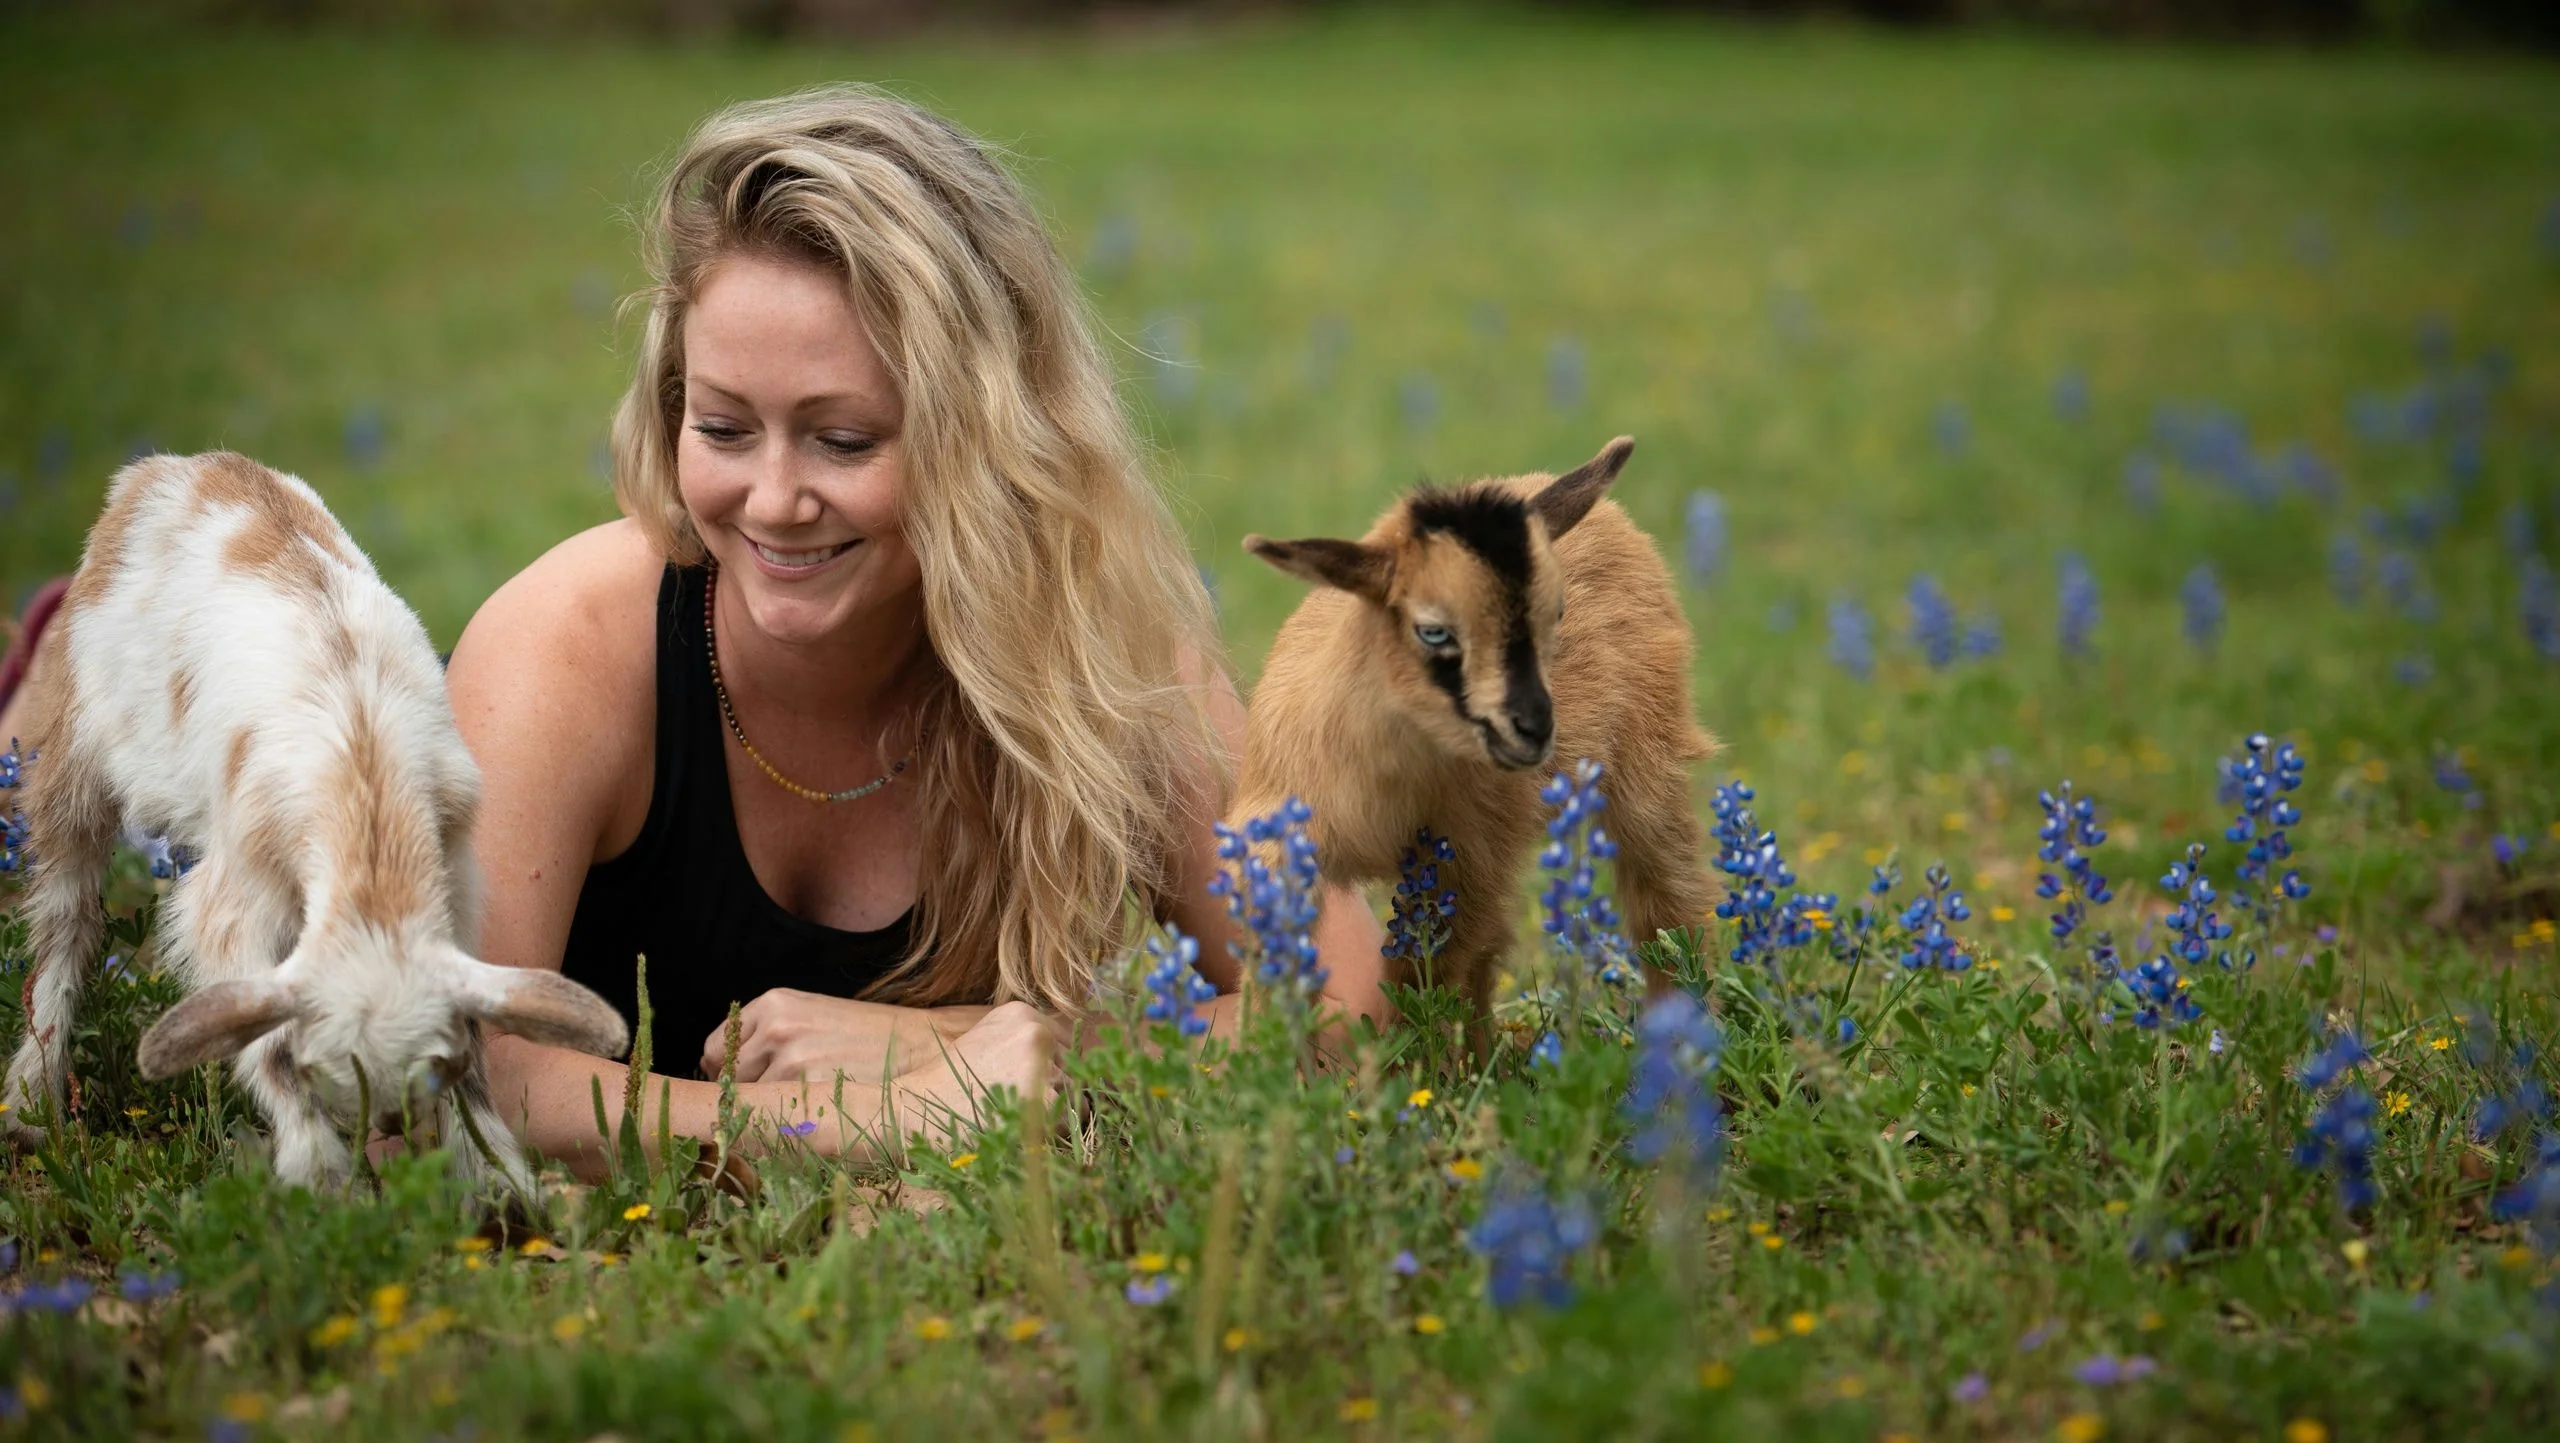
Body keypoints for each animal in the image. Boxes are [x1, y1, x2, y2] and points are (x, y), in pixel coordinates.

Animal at [2, 451, 628, 1191]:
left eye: (435, 1068)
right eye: (319, 1065)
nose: (390, 1125)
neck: (365, 770)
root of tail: (175, 467)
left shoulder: (455, 872)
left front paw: (498, 1178)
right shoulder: (231, 894)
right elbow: (262, 1034)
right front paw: (322, 1174)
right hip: (73, 743)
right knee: (65, 917)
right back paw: (31, 1099)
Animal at [1233, 437, 1720, 1015]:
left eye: (1556, 614)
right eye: (1433, 630)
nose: (1535, 729)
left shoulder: (1467, 860)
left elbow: (1424, 977)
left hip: (1647, 762)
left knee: (1671, 902)